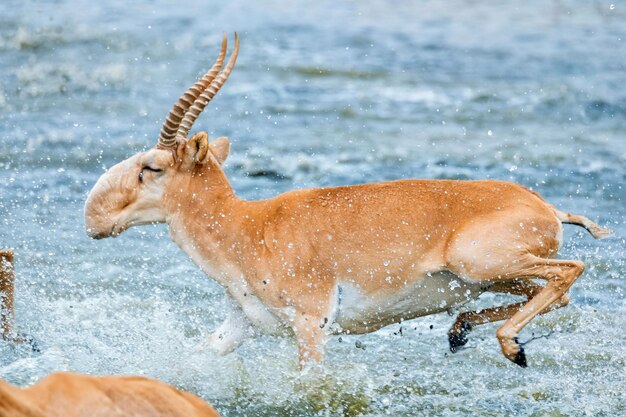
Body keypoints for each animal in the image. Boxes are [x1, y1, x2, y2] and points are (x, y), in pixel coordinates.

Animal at [83, 33, 608, 368]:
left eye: (152, 167)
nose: (94, 218)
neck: (247, 227)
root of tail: (546, 209)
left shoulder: (311, 326)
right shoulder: (239, 328)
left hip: (482, 264)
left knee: (570, 271)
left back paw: (511, 348)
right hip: (491, 277)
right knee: (554, 293)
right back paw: (463, 334)